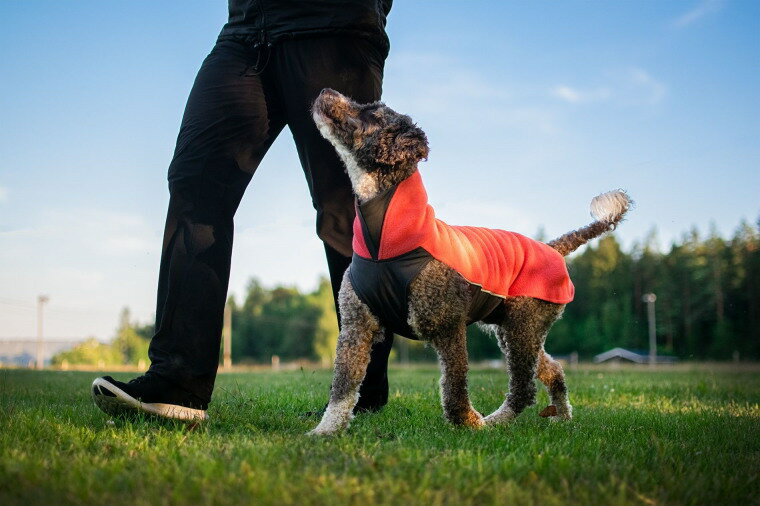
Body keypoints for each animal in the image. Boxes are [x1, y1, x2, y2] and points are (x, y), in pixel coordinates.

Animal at [306, 87, 632, 434]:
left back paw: (494, 422)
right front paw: (325, 431)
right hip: (517, 330)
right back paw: (562, 417)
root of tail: (552, 248)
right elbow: (343, 386)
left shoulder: (449, 326)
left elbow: (454, 386)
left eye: (372, 112)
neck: (382, 239)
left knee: (524, 388)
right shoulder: (356, 327)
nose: (326, 90)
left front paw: (467, 423)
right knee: (552, 369)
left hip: (523, 328)